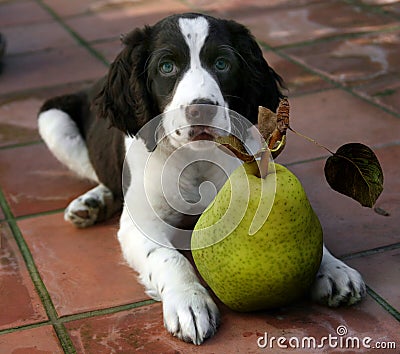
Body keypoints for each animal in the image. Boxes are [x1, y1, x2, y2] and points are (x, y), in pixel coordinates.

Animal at [37, 12, 366, 344]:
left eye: (222, 63)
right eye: (166, 67)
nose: (201, 111)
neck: (193, 159)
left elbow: (311, 232)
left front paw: (333, 268)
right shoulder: (141, 225)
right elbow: (169, 258)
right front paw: (189, 302)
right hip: (51, 118)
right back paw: (93, 201)